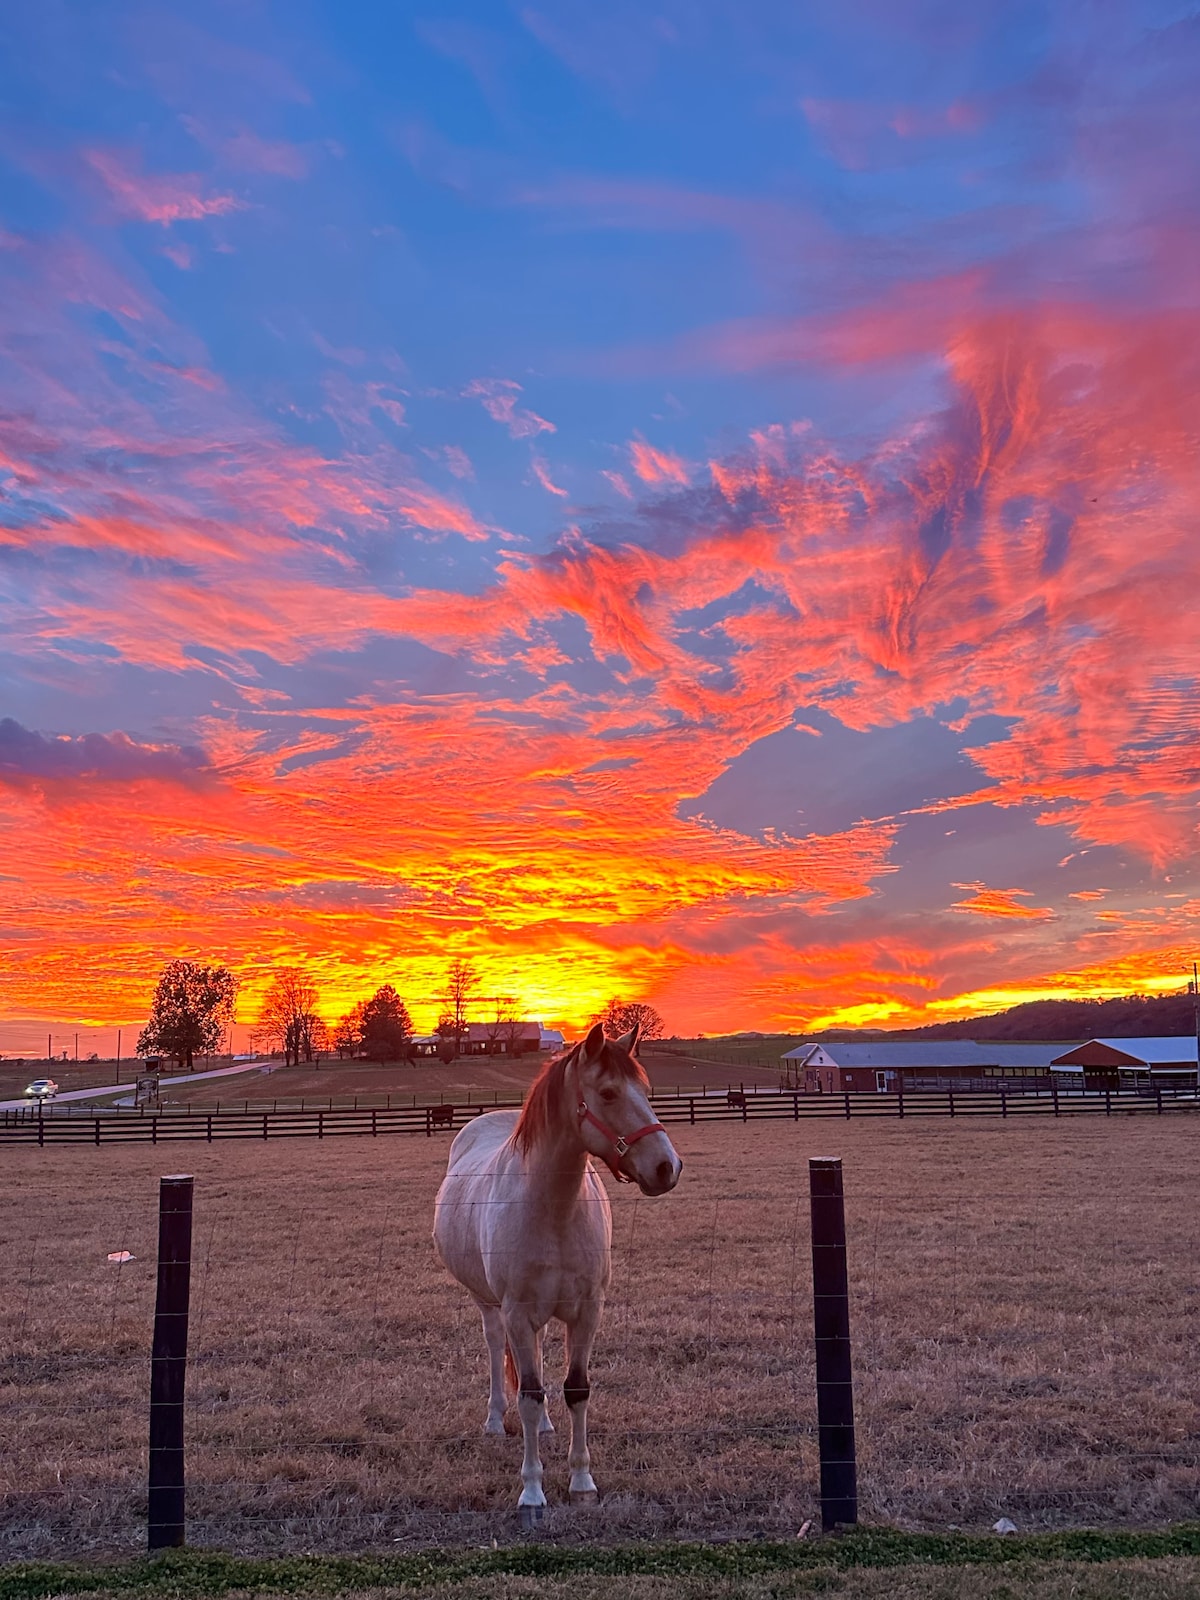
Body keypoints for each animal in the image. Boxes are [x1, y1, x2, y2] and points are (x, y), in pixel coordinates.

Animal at [432, 1024, 681, 1510]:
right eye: (608, 1093)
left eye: (645, 1090)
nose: (667, 1167)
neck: (554, 1211)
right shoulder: (515, 1311)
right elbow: (528, 1394)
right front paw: (532, 1490)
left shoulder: (587, 1311)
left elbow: (576, 1388)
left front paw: (582, 1481)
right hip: (490, 1306)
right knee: (496, 1350)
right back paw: (495, 1420)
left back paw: (546, 1426)